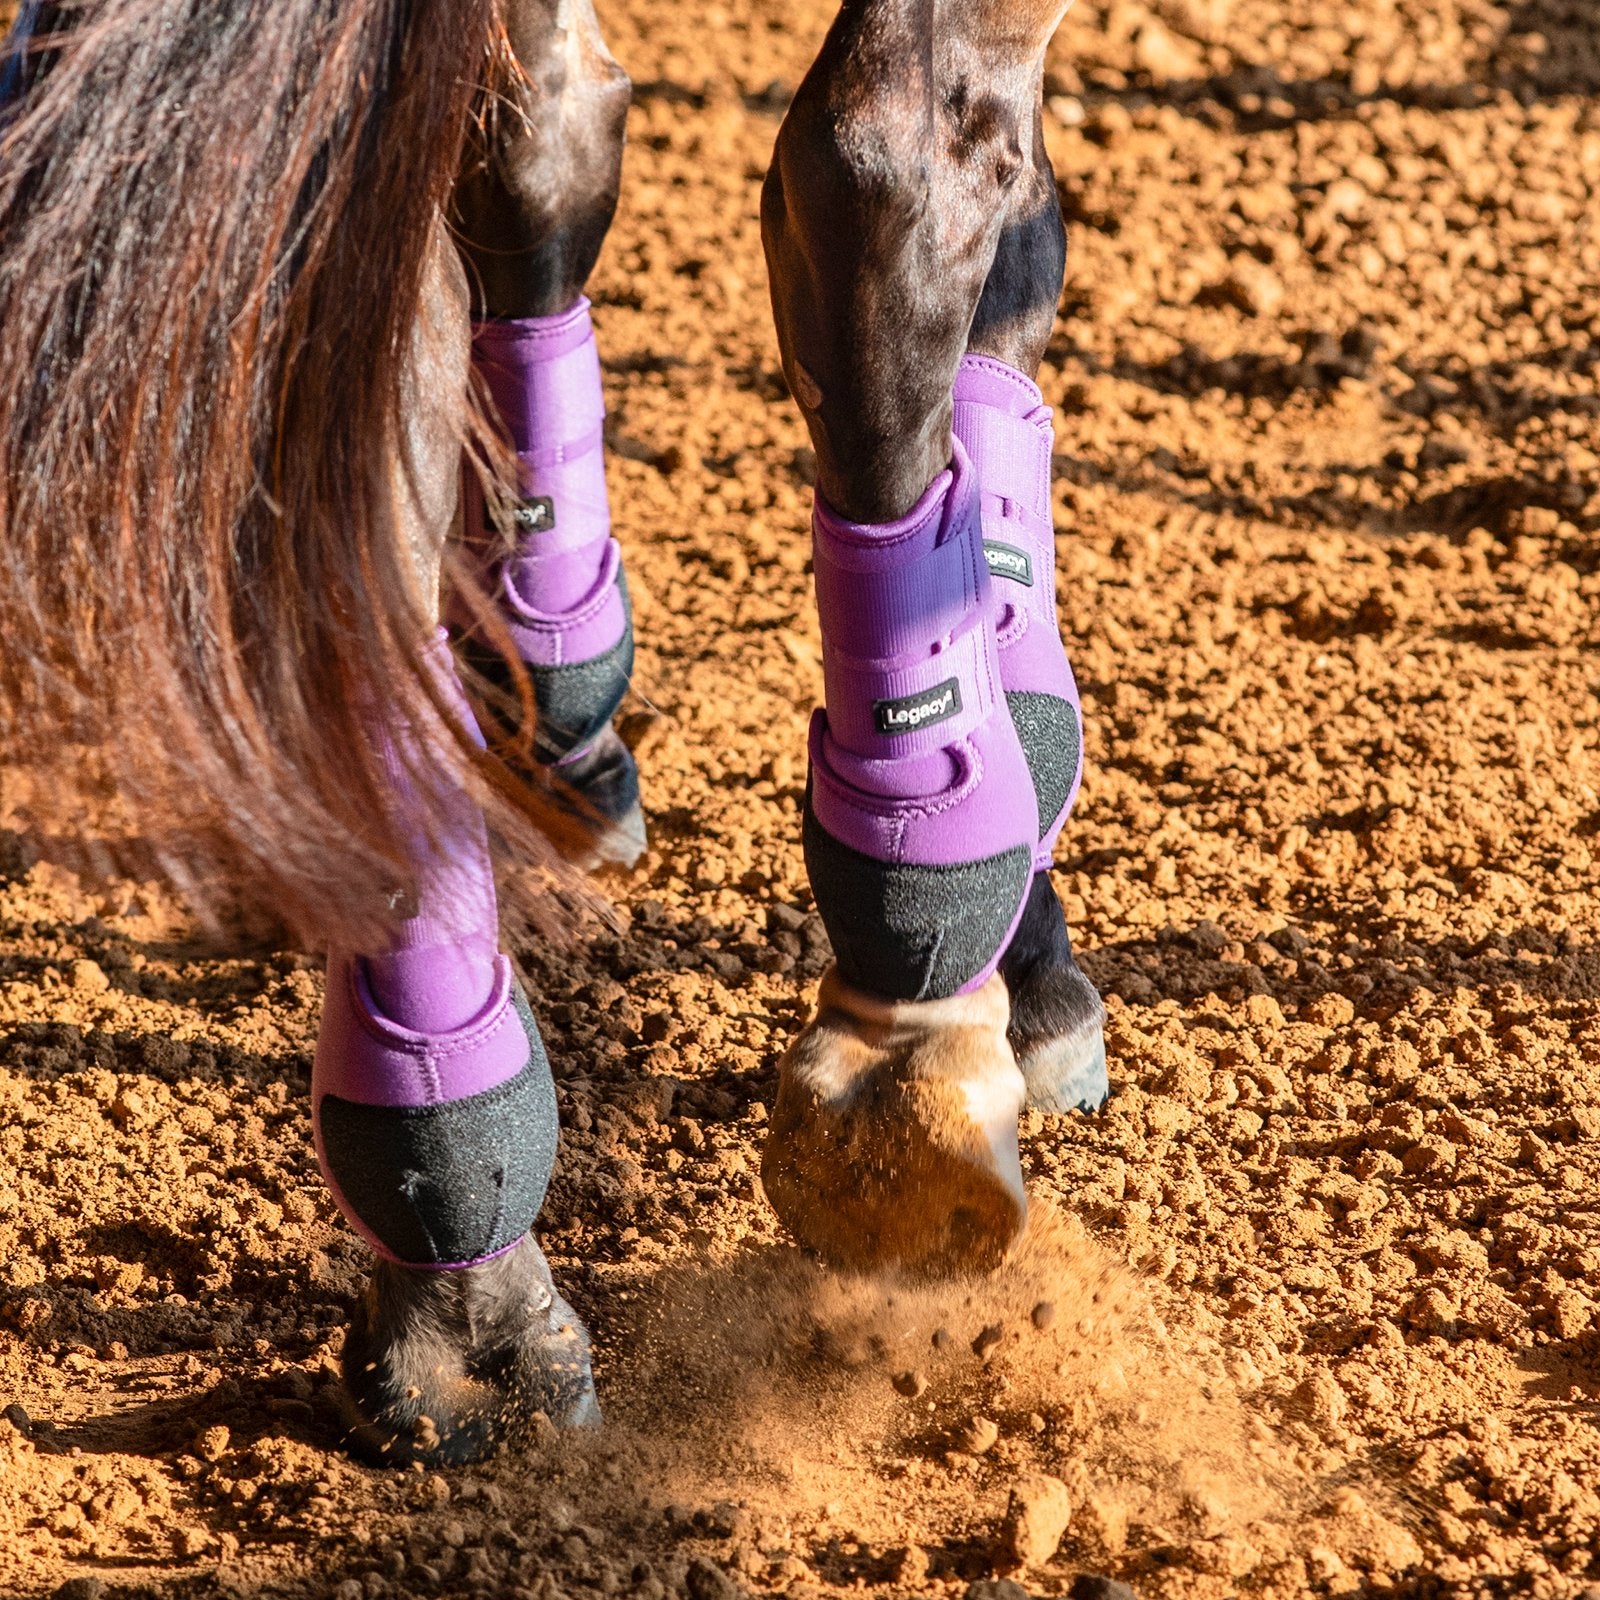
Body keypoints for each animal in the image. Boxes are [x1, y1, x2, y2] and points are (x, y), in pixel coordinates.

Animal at [0, 0, 1106, 1465]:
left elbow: (537, 168)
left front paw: (557, 684)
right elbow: (992, 250)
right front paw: (1021, 944)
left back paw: (460, 1277)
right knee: (884, 180)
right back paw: (905, 1063)